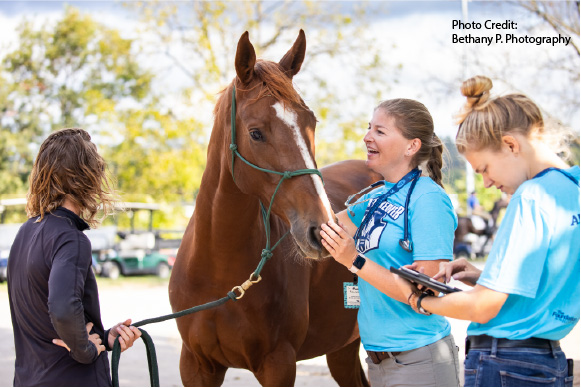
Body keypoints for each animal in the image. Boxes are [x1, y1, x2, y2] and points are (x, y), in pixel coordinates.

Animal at [169, 31, 380, 388]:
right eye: (256, 133)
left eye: (311, 123)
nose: (321, 231)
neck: (218, 271)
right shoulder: (195, 366)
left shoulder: (278, 364)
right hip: (342, 348)